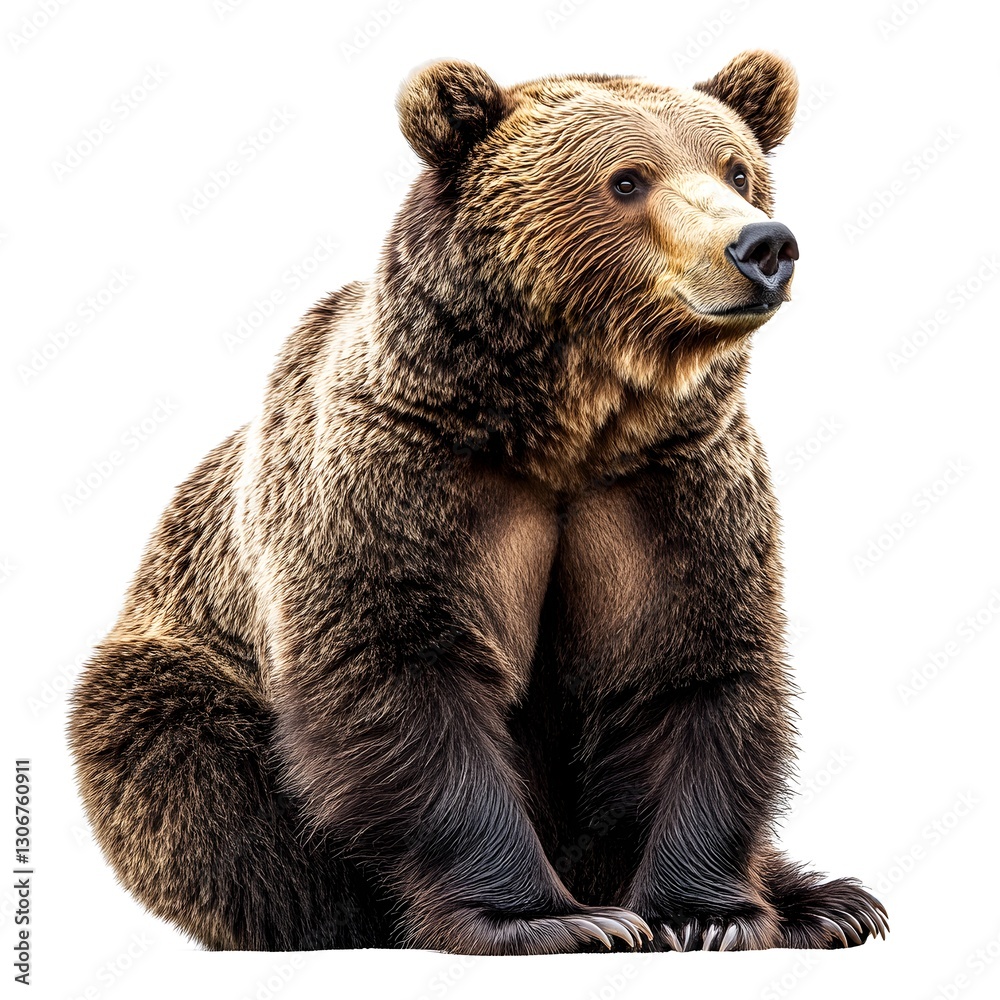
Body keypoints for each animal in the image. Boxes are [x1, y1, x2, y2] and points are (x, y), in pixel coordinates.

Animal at [69, 51, 889, 955]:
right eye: (627, 178)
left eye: (737, 169)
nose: (762, 245)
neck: (567, 428)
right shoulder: (401, 478)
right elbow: (403, 677)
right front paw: (558, 919)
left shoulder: (670, 486)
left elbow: (690, 670)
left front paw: (710, 916)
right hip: (183, 669)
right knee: (196, 772)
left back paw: (830, 901)